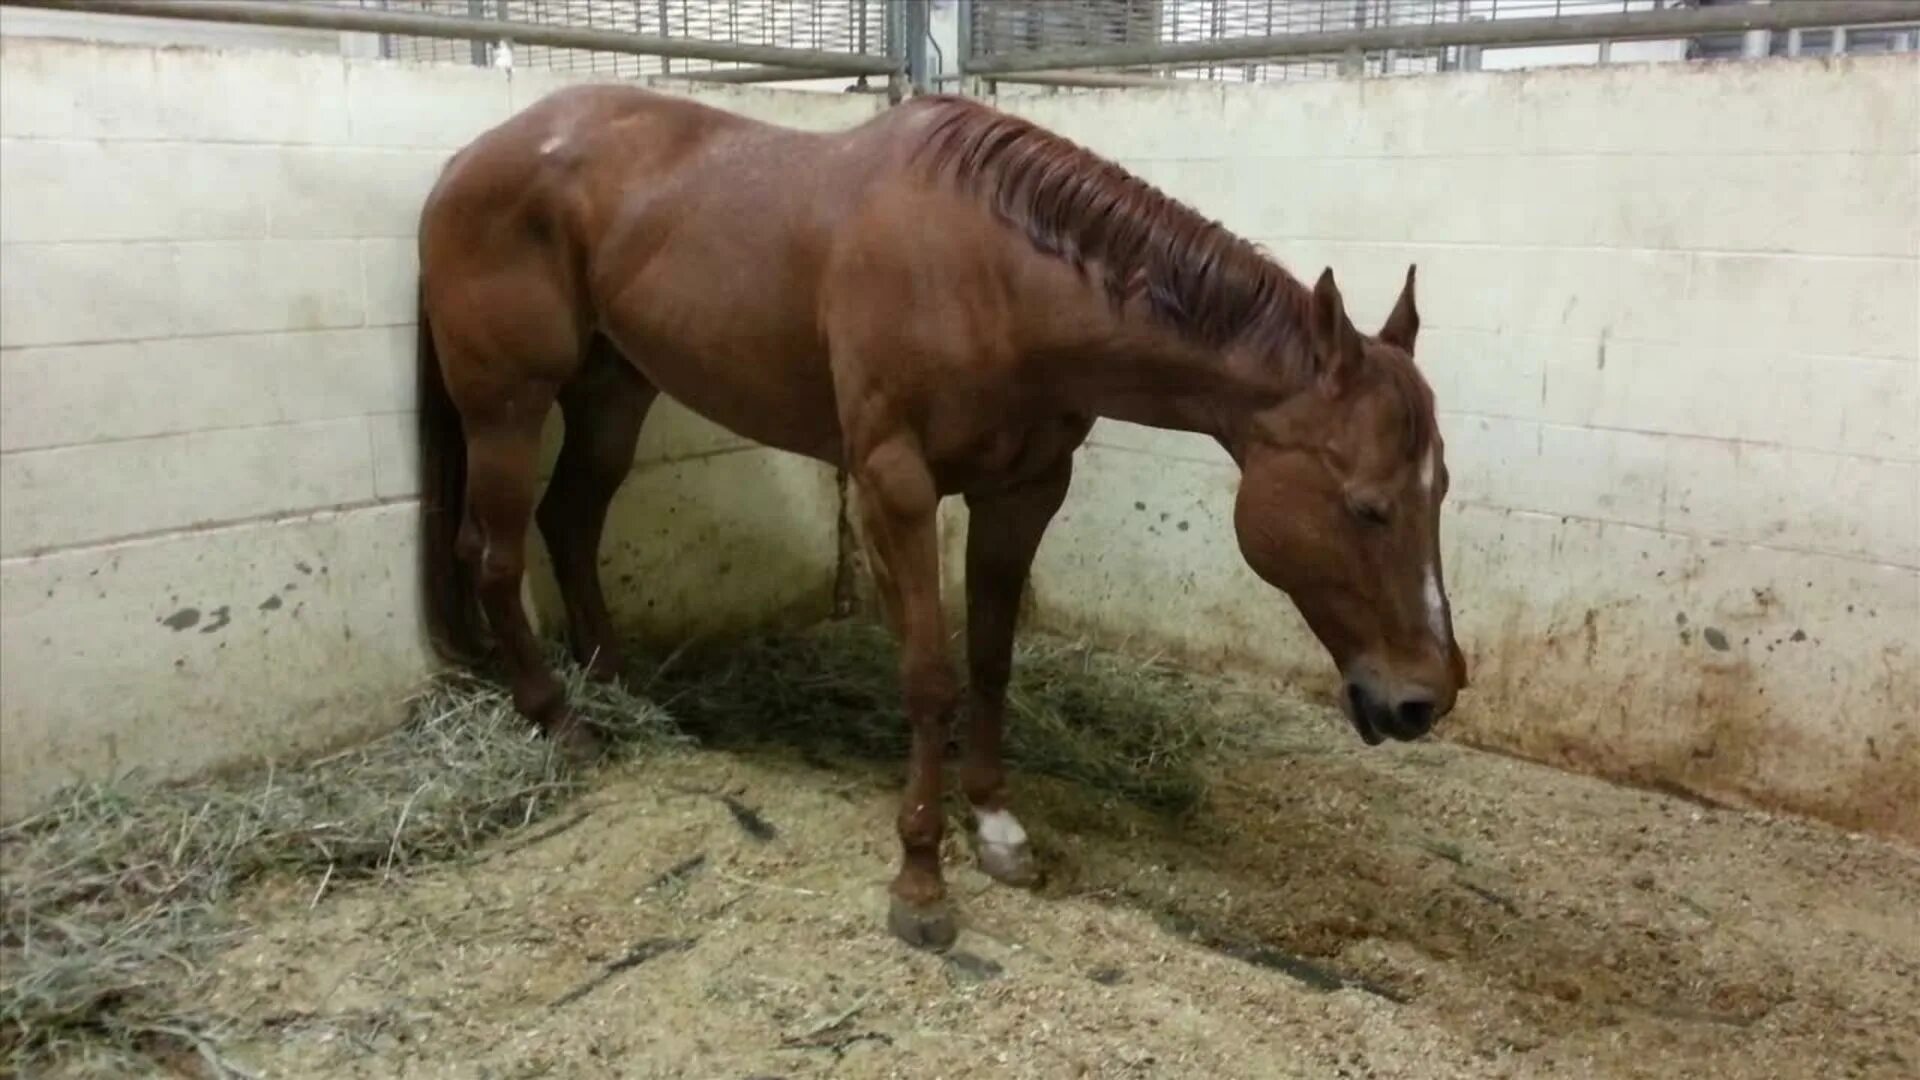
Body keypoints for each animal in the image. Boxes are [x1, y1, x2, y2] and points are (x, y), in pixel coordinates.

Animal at [416, 85, 1466, 949]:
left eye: (1440, 490)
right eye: (1367, 507)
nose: (1423, 698)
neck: (989, 276)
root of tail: (470, 157)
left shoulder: (1026, 490)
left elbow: (992, 659)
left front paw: (996, 824)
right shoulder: (894, 484)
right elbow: (928, 674)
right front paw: (920, 878)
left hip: (613, 390)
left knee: (570, 523)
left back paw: (617, 685)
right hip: (508, 404)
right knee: (494, 553)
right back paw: (560, 721)